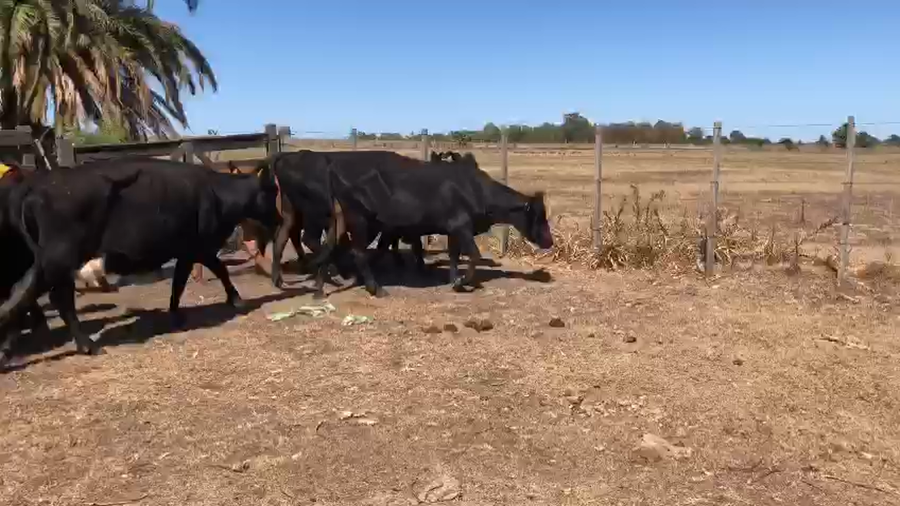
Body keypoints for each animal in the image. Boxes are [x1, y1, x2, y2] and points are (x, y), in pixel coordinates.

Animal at [0, 157, 279, 367]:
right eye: (270, 192)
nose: (278, 219)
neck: (217, 194)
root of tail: (35, 187)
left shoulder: (189, 251)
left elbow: (184, 281)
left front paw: (176, 313)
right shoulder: (196, 248)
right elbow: (213, 271)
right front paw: (235, 300)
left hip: (50, 262)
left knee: (31, 295)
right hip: (59, 258)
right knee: (52, 298)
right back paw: (85, 345)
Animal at [305, 153, 553, 298]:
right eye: (539, 216)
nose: (550, 241)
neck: (475, 189)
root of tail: (335, 165)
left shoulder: (454, 230)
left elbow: (454, 256)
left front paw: (454, 280)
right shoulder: (461, 226)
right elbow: (473, 255)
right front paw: (462, 281)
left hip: (342, 219)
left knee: (330, 247)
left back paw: (320, 291)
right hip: (361, 220)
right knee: (357, 252)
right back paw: (376, 288)